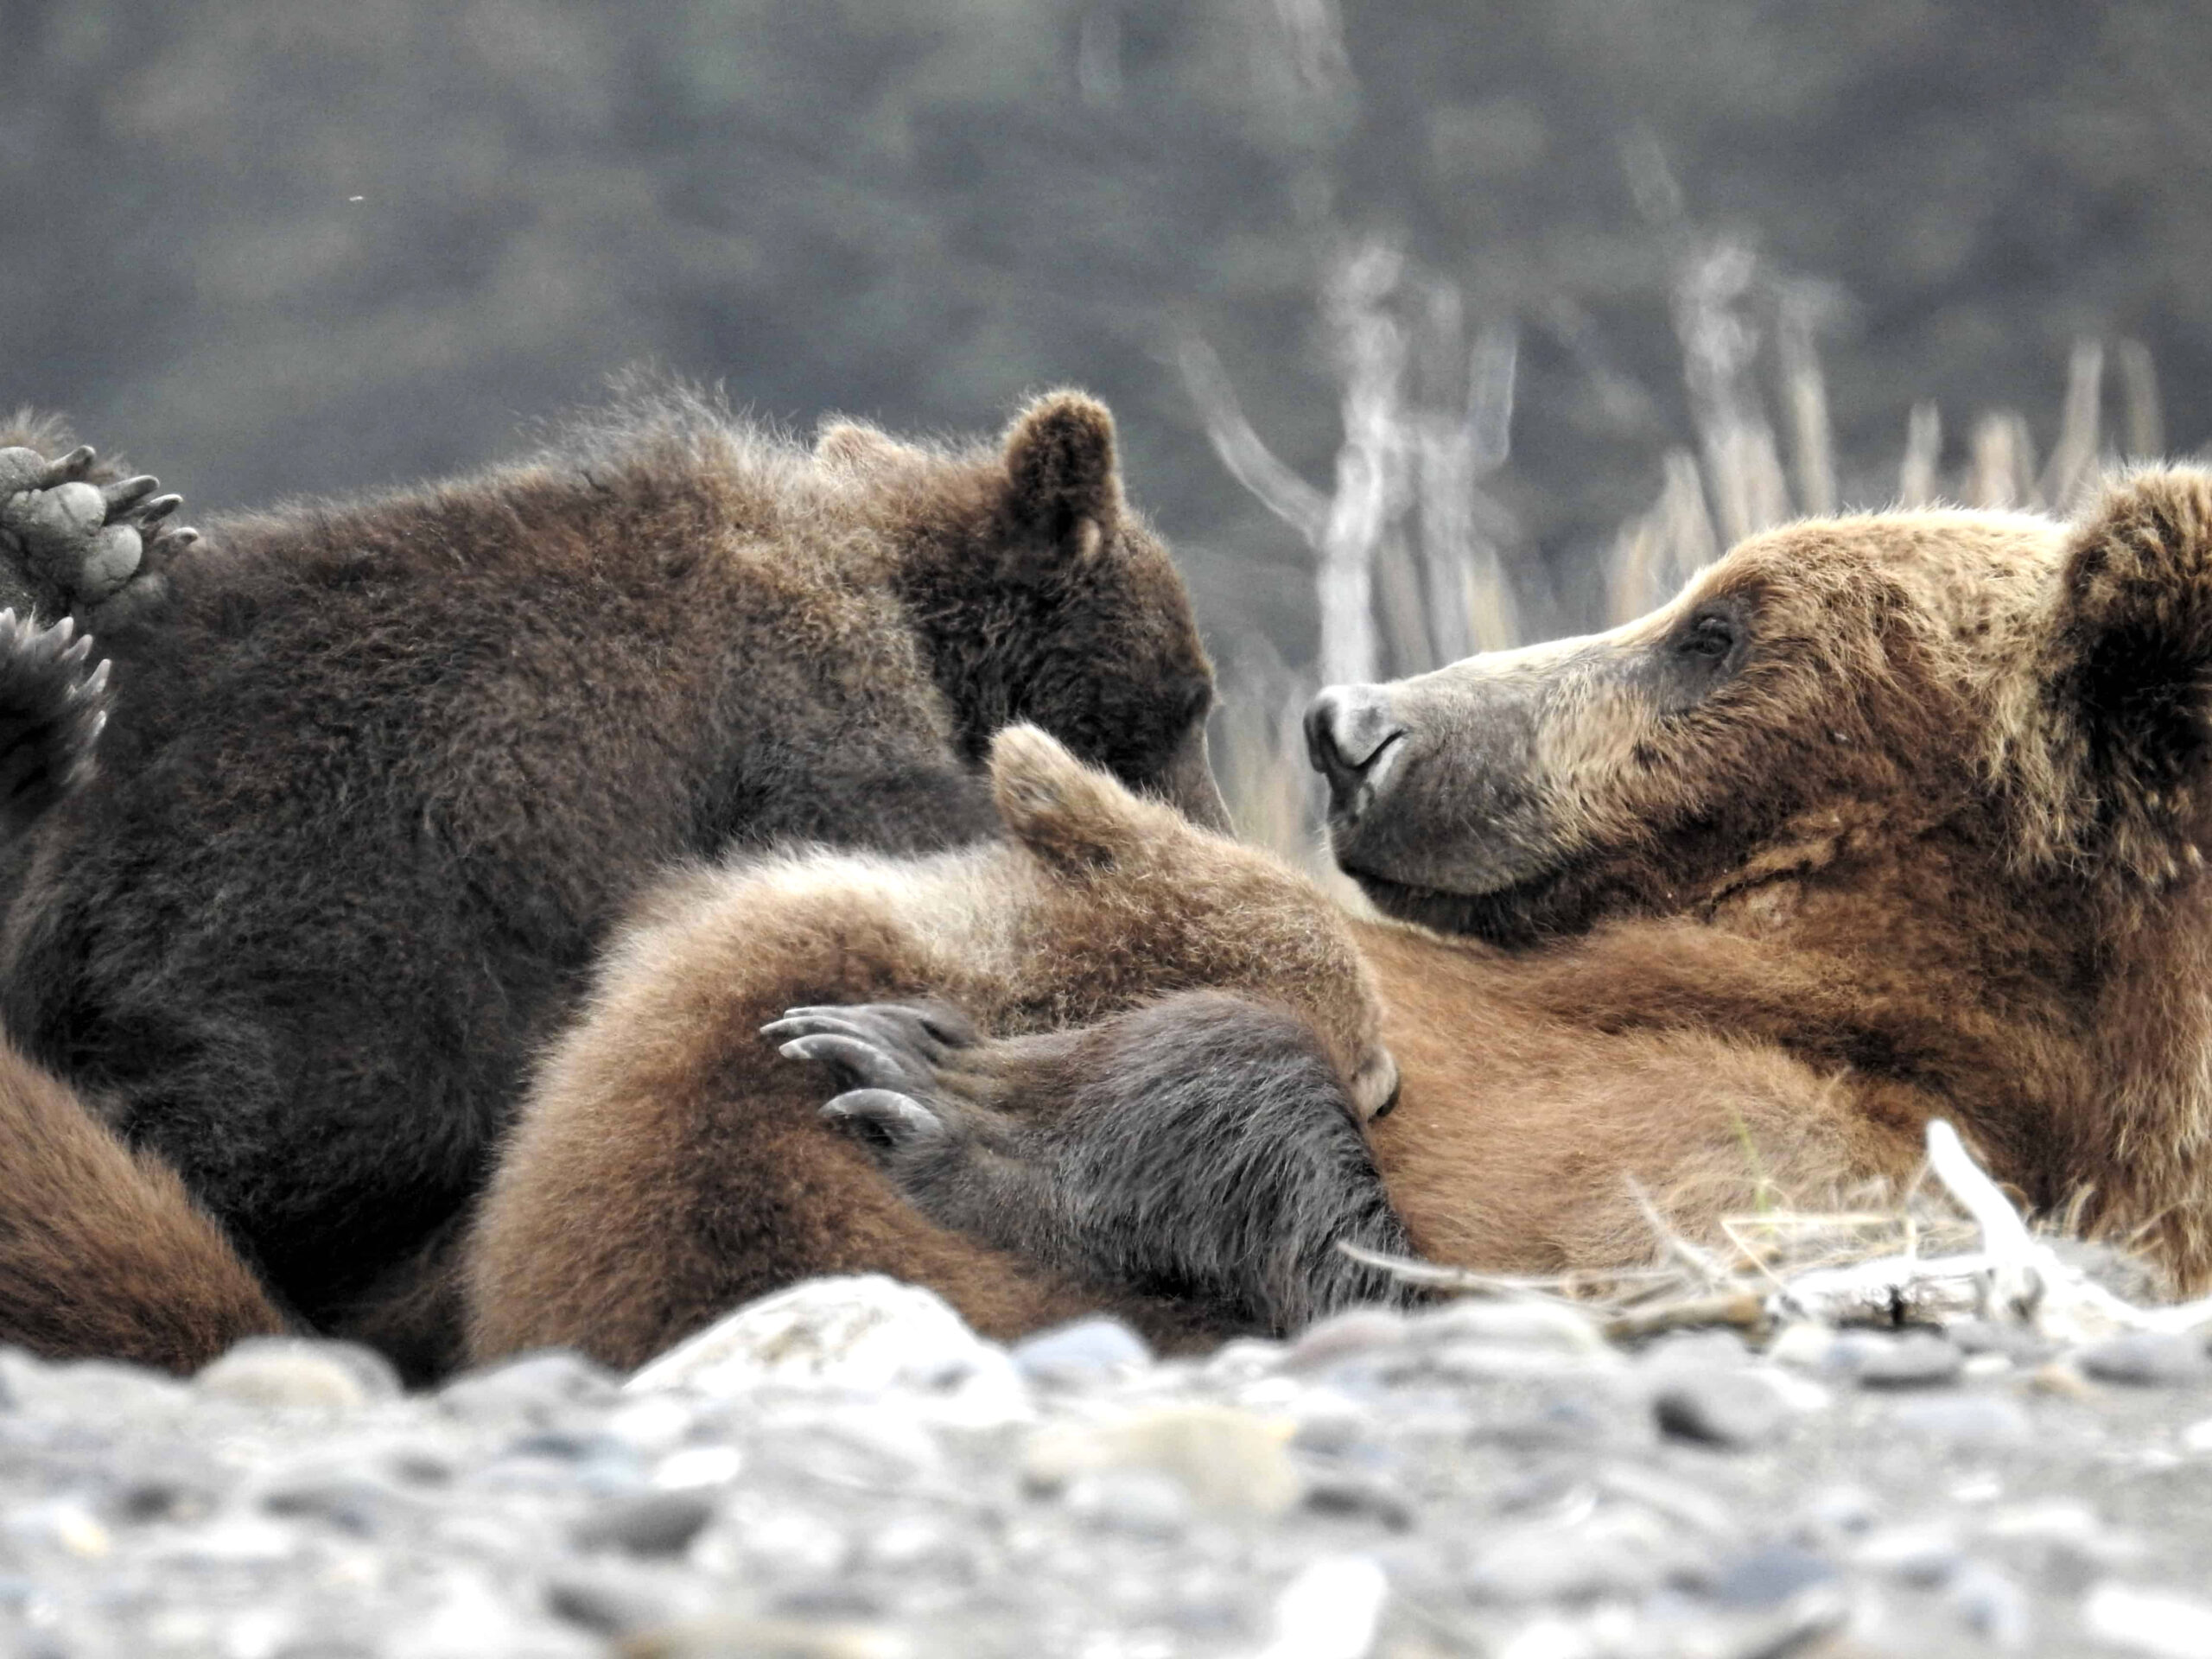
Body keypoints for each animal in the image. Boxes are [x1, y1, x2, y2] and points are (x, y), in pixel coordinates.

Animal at [0, 383, 1228, 1379]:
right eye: (1193, 695)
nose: (1210, 819)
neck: (909, 617)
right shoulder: (797, 714)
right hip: (336, 928)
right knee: (302, 1114)